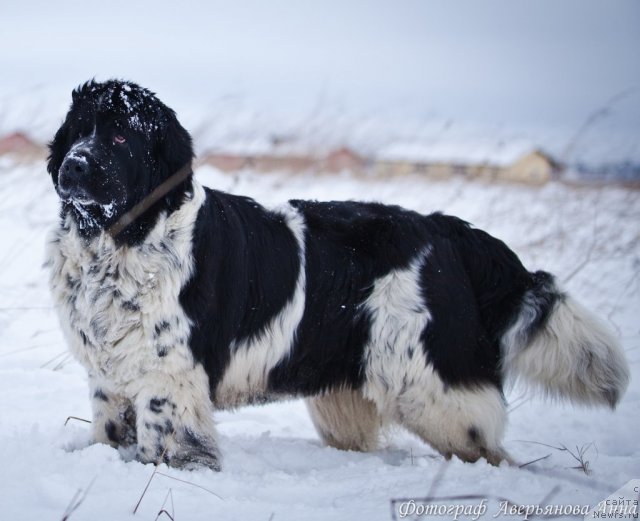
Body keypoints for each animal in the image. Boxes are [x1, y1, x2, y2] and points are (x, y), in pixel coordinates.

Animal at [46, 78, 632, 472]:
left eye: (121, 139)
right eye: (78, 132)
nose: (73, 164)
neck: (121, 239)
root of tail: (445, 228)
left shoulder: (169, 373)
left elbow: (166, 435)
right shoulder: (109, 372)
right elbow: (111, 426)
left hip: (431, 386)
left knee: (485, 445)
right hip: (349, 393)